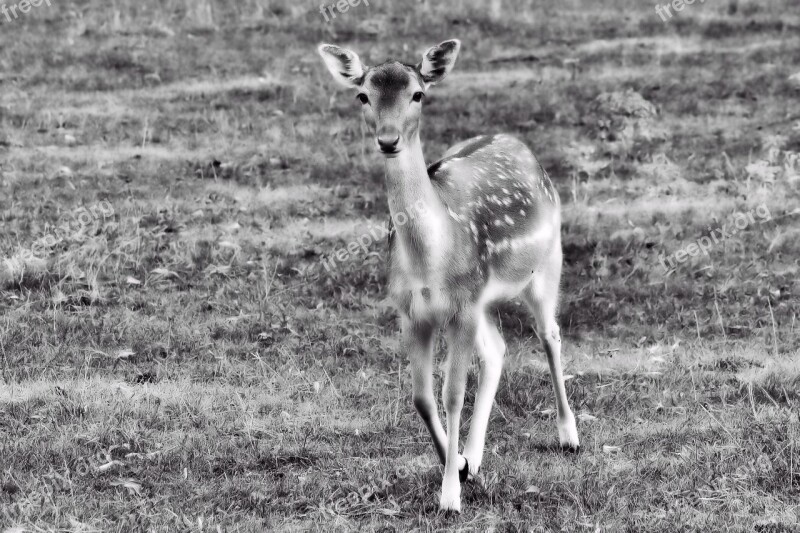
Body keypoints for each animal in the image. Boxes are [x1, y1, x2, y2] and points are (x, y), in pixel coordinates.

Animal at [318, 38, 580, 512]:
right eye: (363, 95)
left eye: (418, 94)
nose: (388, 140)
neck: (430, 263)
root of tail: (517, 142)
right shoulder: (412, 312)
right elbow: (422, 397)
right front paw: (457, 465)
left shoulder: (461, 307)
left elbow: (452, 393)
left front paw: (450, 496)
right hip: (483, 301)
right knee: (497, 350)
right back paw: (474, 458)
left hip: (547, 262)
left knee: (549, 334)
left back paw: (569, 435)